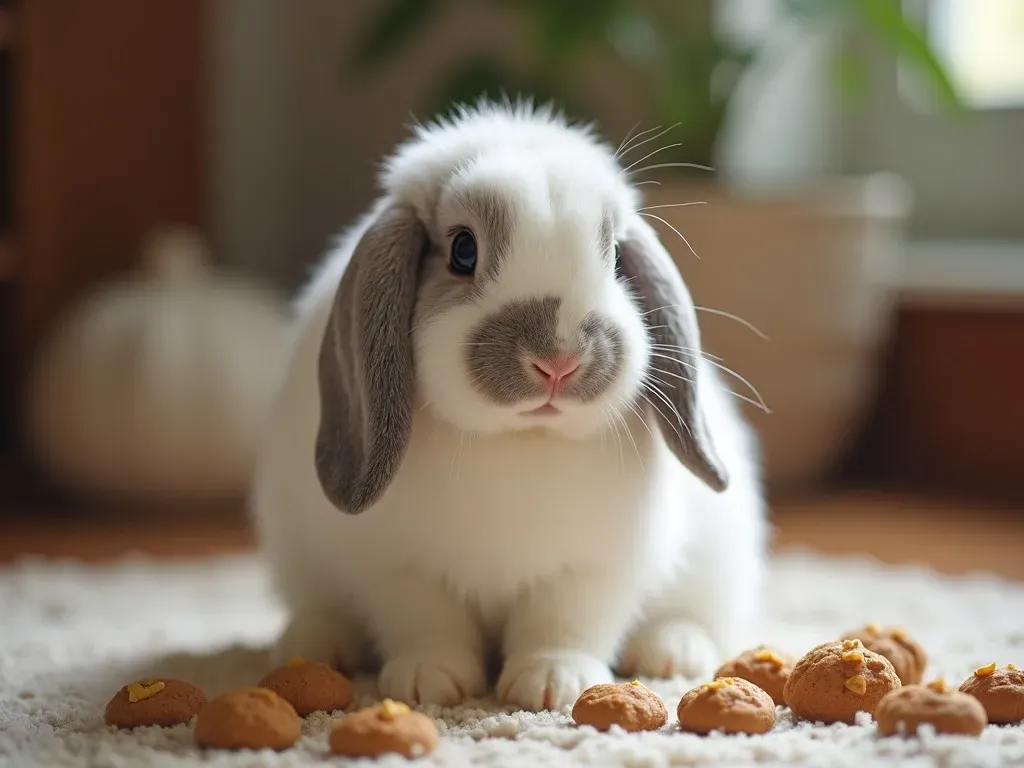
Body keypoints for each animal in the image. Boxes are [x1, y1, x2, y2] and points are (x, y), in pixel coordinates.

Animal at [249, 99, 770, 712]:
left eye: (616, 257)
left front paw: (553, 682)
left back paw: (673, 650)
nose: (559, 360)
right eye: (462, 250)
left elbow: (563, 624)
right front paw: (429, 680)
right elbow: (425, 622)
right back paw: (315, 643)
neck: (517, 439)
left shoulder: (593, 568)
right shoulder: (399, 566)